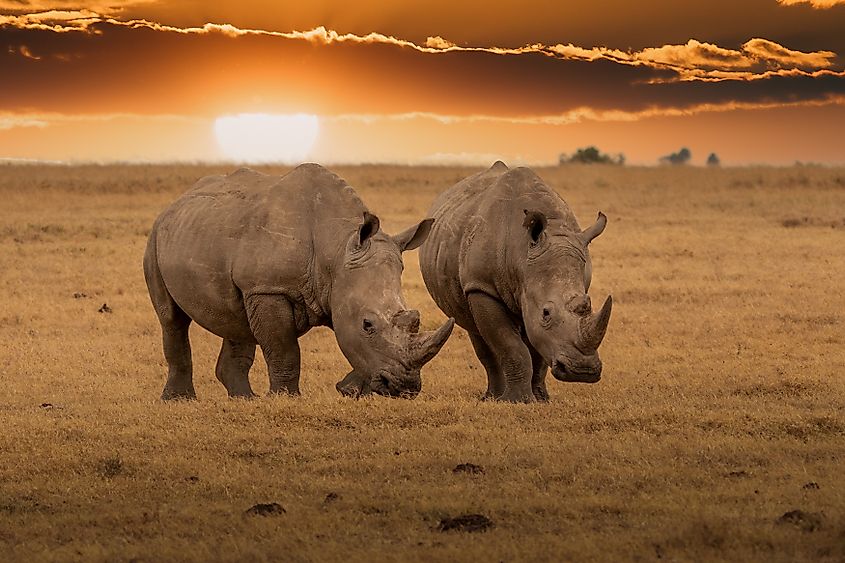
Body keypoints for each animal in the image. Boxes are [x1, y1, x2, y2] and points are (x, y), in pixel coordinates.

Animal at [143, 164, 454, 400]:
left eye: (415, 320)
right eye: (368, 325)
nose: (404, 388)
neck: (336, 250)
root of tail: (175, 203)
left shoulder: (334, 290)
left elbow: (351, 342)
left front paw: (348, 390)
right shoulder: (269, 288)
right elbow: (285, 349)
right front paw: (285, 398)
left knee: (236, 320)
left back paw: (244, 399)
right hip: (156, 238)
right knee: (171, 319)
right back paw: (179, 400)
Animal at [419, 161, 612, 403]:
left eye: (588, 304)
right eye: (546, 313)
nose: (582, 371)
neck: (522, 258)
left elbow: (538, 350)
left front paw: (541, 400)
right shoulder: (482, 286)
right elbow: (511, 346)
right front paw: (518, 401)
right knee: (479, 335)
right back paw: (492, 398)